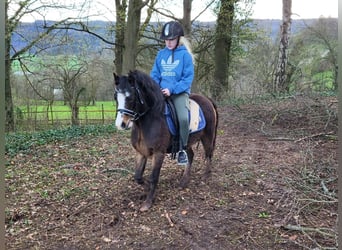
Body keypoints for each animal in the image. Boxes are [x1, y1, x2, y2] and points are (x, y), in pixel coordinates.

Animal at [113, 70, 218, 211]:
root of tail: (207, 99)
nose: (121, 124)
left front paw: (148, 202)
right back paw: (184, 181)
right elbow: (138, 176)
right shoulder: (140, 153)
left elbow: (153, 177)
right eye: (115, 97)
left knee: (208, 154)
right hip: (186, 142)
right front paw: (146, 188)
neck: (149, 120)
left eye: (131, 97)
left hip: (207, 136)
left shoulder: (159, 153)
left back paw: (205, 176)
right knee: (191, 155)